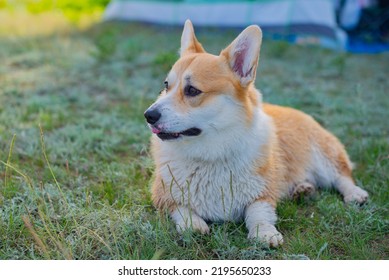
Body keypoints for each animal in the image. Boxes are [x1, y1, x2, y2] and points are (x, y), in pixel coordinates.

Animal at [144, 20, 368, 247]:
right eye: (166, 85)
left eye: (192, 90)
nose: (149, 115)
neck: (211, 155)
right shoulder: (162, 195)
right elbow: (181, 209)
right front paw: (193, 225)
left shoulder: (262, 193)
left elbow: (257, 212)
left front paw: (264, 233)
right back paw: (303, 189)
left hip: (324, 157)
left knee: (342, 176)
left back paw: (354, 193)